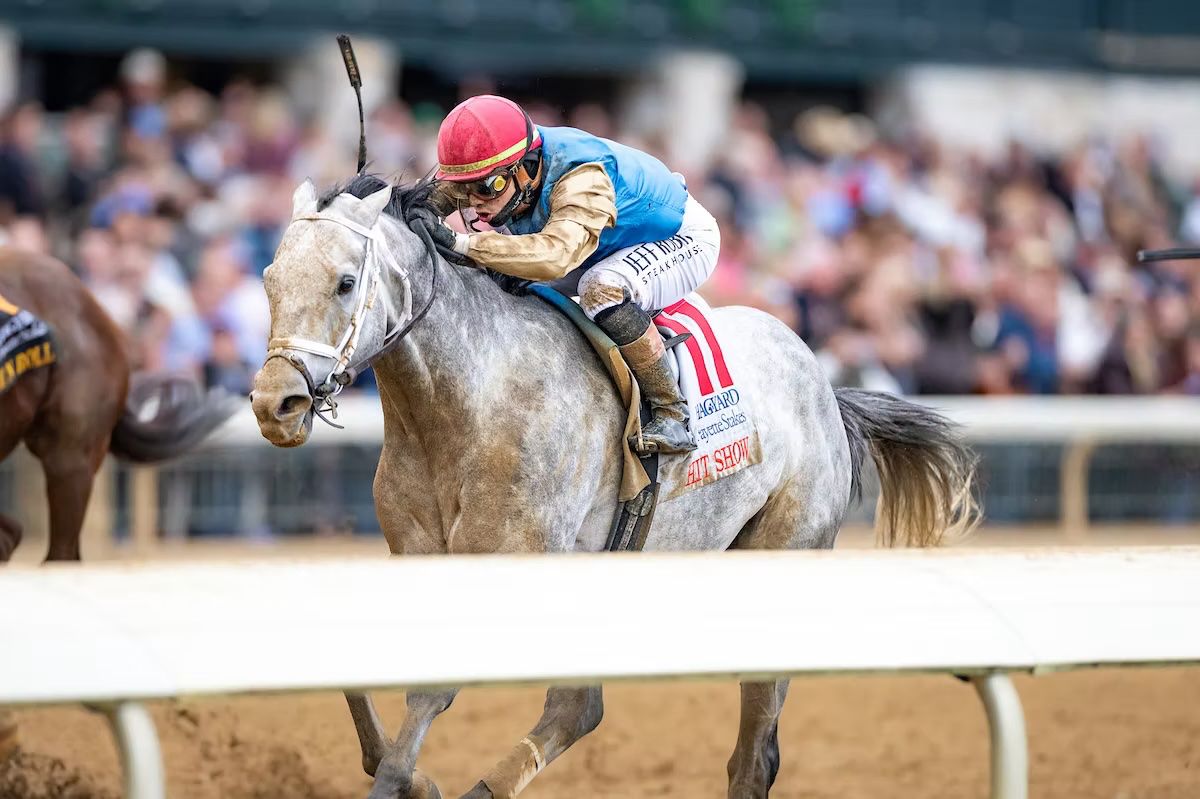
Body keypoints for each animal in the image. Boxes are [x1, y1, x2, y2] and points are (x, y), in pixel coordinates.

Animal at [249, 174, 980, 799]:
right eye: (269, 277)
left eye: (345, 282)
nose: (274, 403)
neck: (466, 400)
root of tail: (824, 385)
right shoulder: (416, 556)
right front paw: (413, 777)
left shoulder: (510, 556)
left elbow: (432, 690)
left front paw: (402, 778)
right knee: (580, 707)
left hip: (783, 550)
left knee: (751, 753)